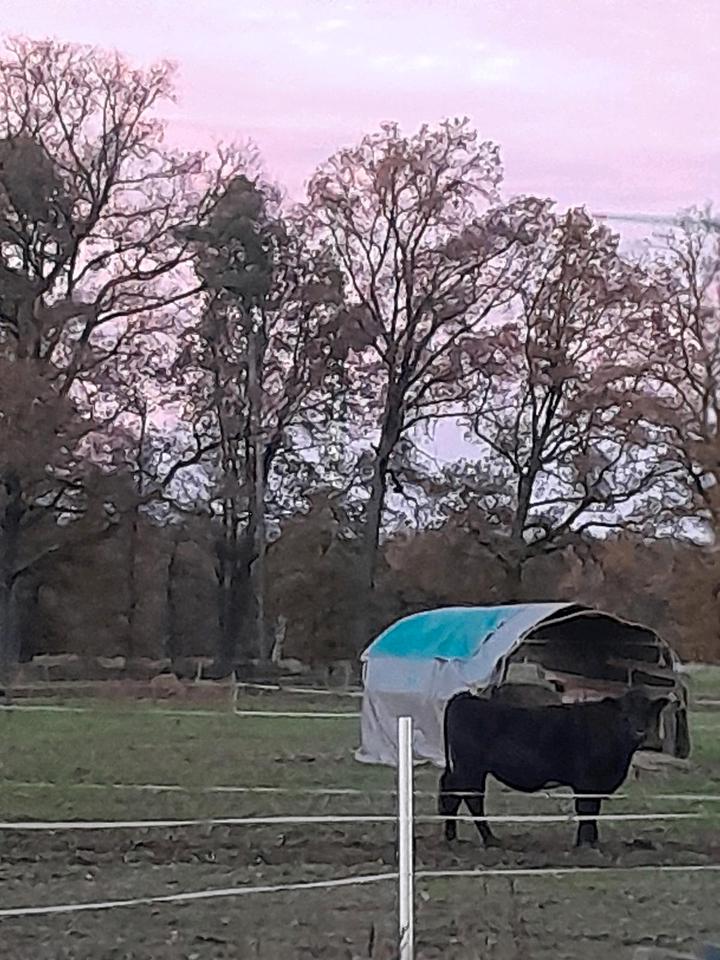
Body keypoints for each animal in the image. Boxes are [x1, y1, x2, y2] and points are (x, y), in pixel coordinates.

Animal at [438, 688, 668, 848]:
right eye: (625, 714)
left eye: (647, 713)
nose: (639, 732)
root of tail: (464, 698)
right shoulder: (586, 782)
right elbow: (586, 810)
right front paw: (585, 845)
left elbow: (593, 812)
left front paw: (592, 842)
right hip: (471, 768)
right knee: (471, 798)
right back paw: (490, 839)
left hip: (463, 768)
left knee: (450, 793)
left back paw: (452, 837)